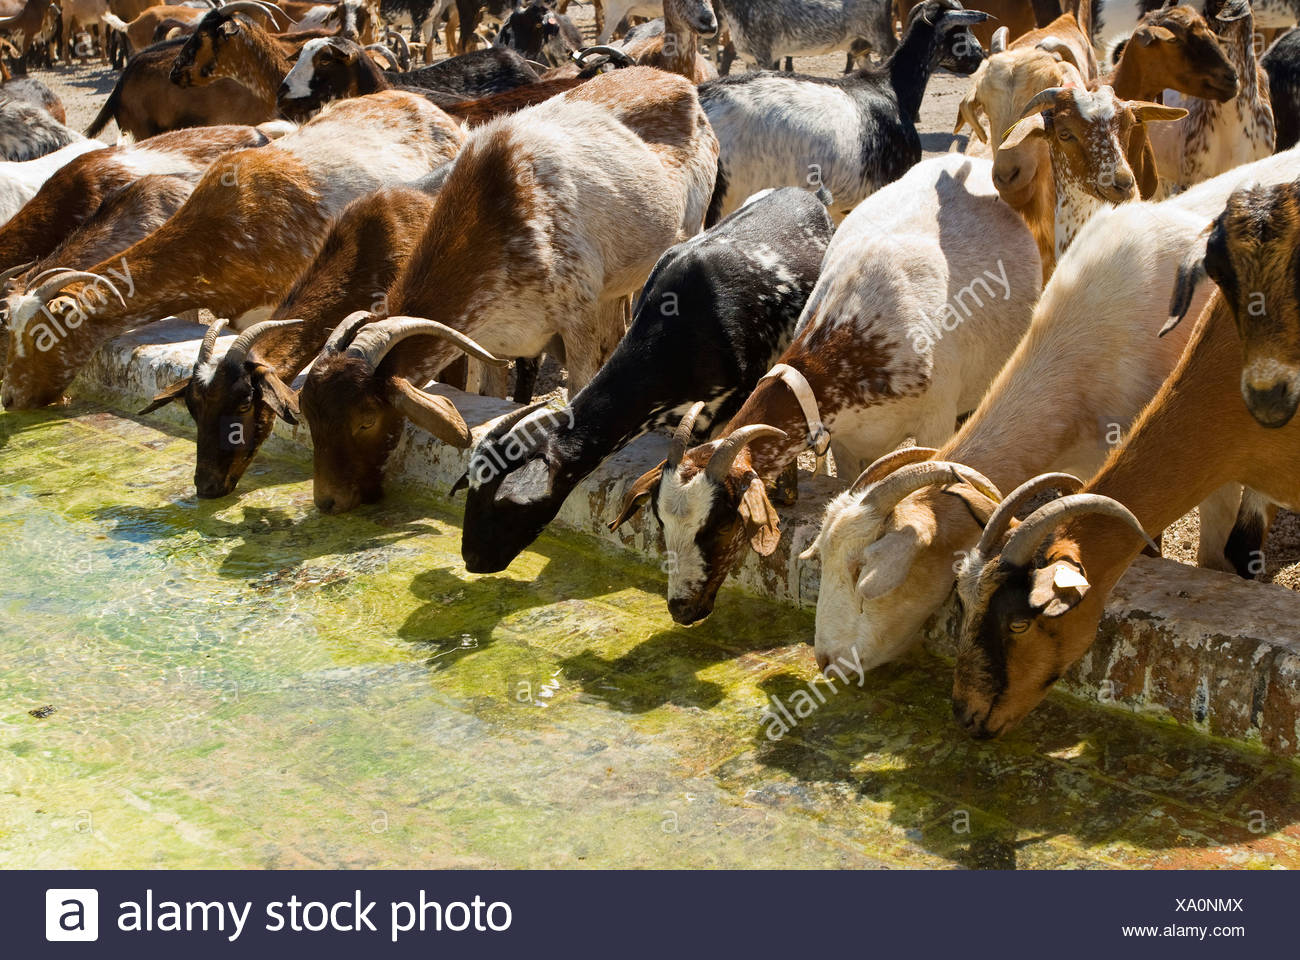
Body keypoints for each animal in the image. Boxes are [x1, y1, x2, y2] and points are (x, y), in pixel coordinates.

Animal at [297, 67, 719, 514]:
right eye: (310, 416)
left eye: (365, 420)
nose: (328, 501)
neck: (503, 214)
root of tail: (678, 81)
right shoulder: (489, 343)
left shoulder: (579, 317)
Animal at [614, 154, 1042, 625]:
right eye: (661, 522)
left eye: (722, 524)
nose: (681, 608)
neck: (858, 336)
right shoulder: (848, 443)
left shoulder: (936, 421)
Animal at [801, 145, 1300, 681]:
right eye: (825, 559)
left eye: (862, 572)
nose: (827, 660)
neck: (1094, 337)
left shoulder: (1209, 458)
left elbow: (1207, 557)